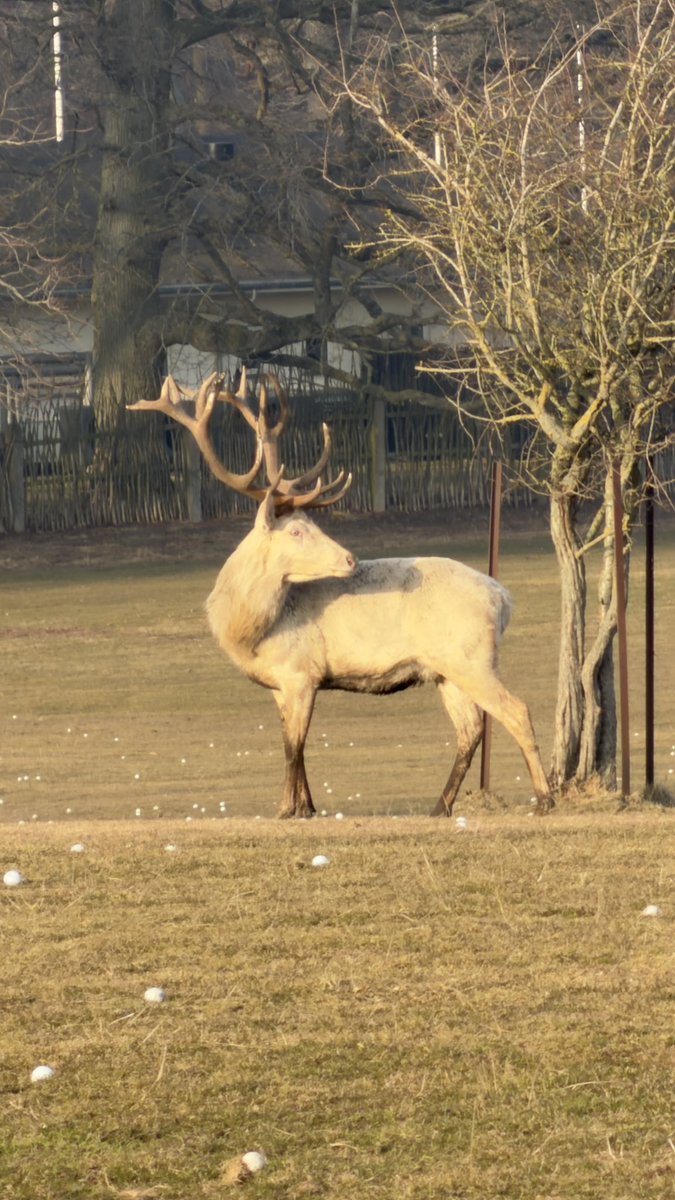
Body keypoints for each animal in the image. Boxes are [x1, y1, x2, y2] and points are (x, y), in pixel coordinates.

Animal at [128, 371, 553, 819]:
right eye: (298, 530)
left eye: (310, 525)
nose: (350, 558)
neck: (251, 632)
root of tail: (502, 598)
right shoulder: (281, 684)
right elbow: (295, 745)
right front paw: (307, 807)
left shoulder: (302, 671)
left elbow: (292, 747)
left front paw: (285, 809)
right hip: (444, 669)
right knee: (470, 730)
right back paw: (440, 807)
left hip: (471, 658)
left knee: (516, 710)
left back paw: (544, 798)